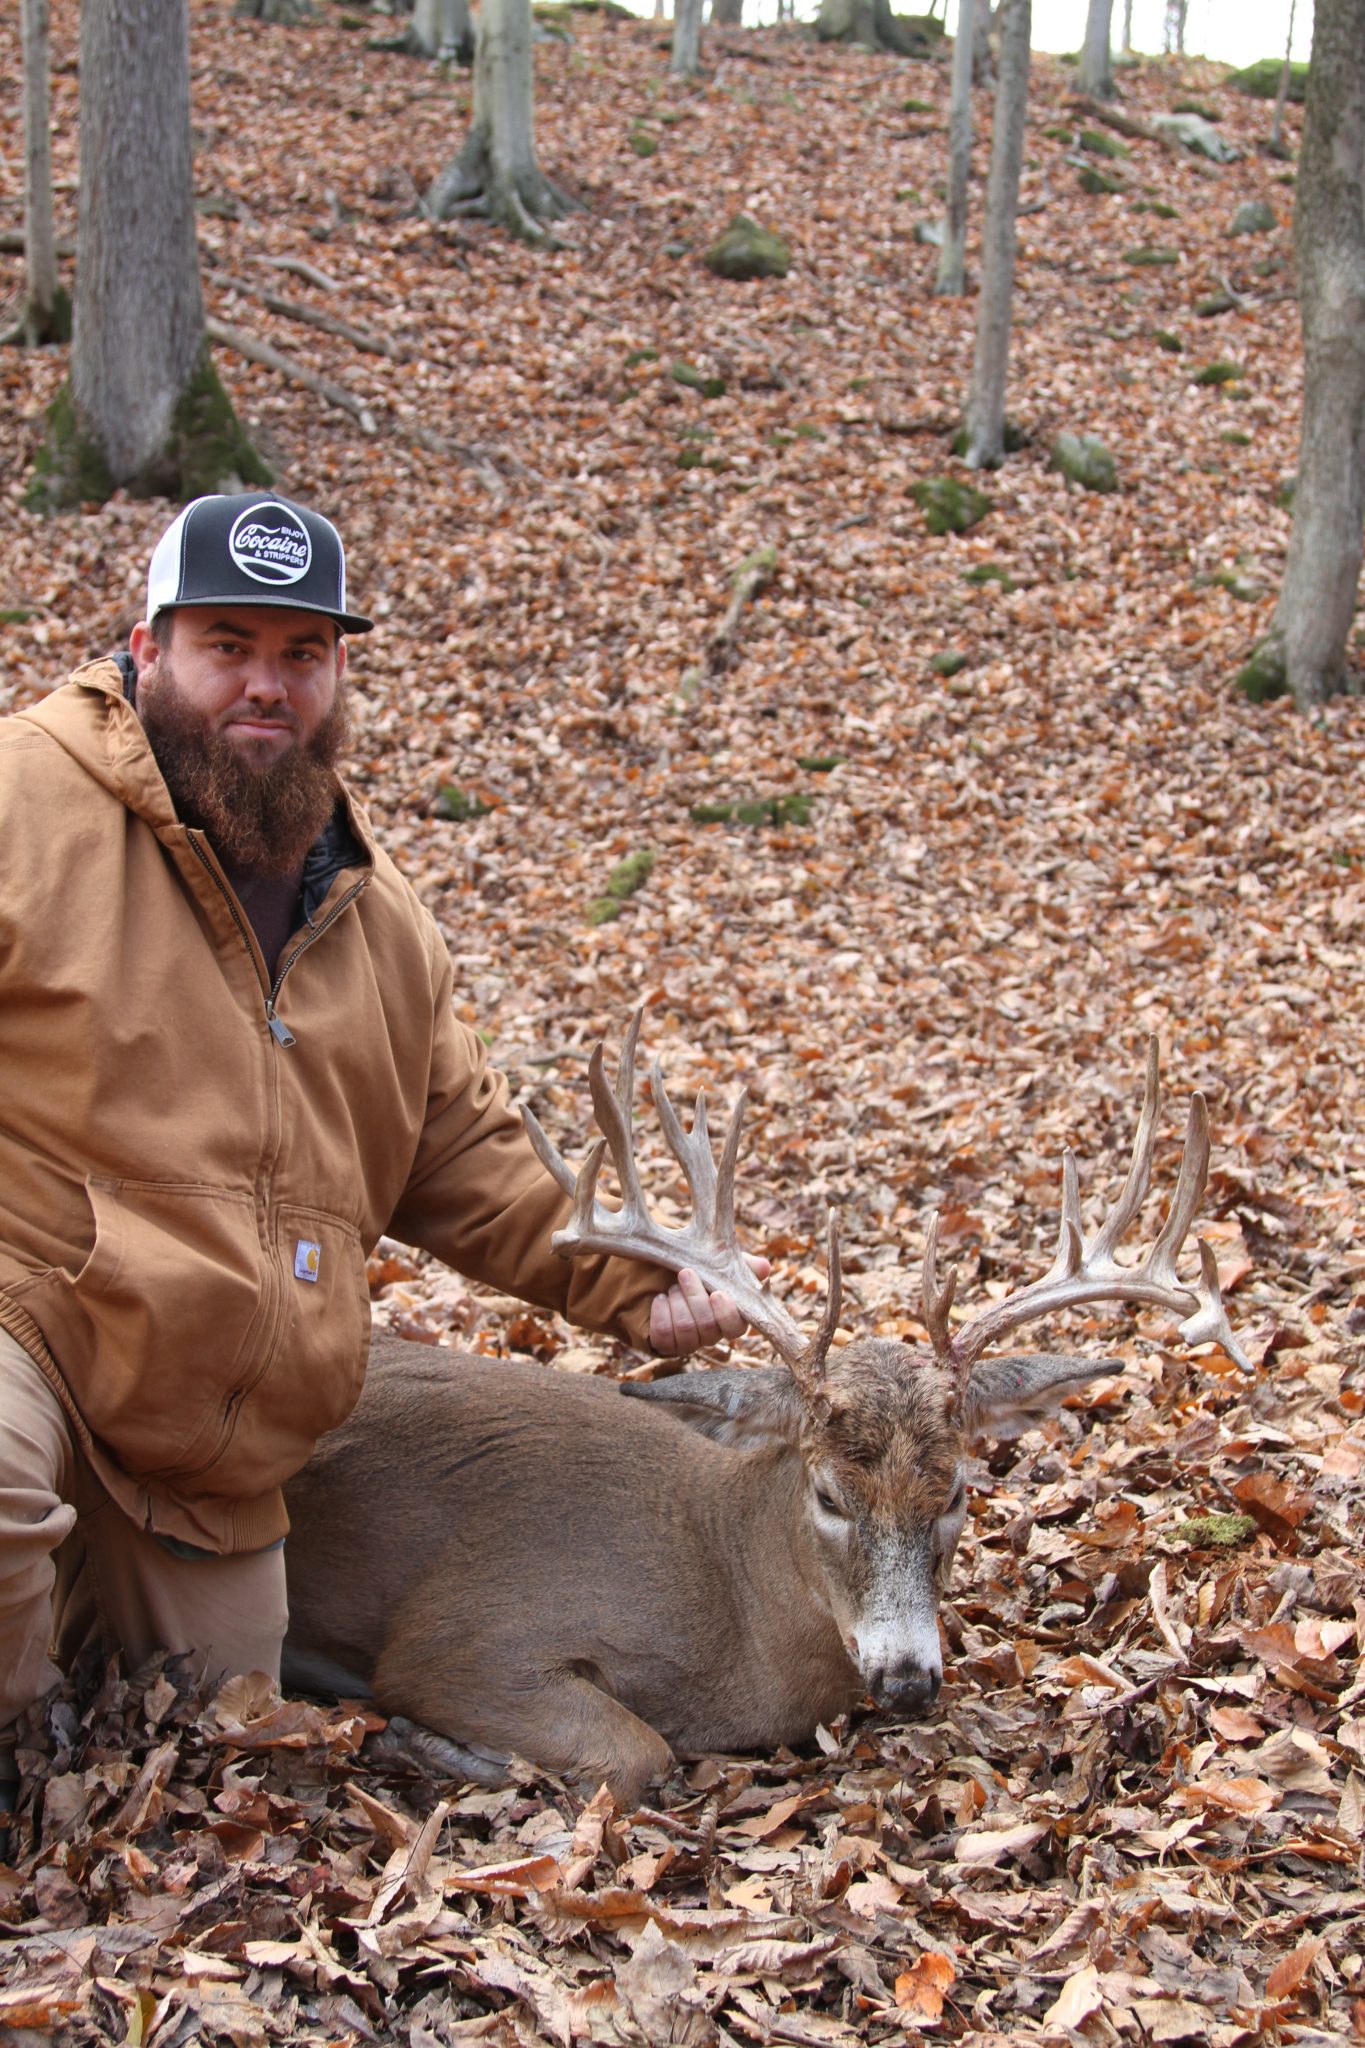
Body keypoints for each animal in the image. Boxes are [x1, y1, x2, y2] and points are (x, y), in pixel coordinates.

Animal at [281, 1017, 1249, 1809]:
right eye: (827, 1495)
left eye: (955, 1495)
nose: (907, 1680)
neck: (726, 1605)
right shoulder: (465, 1635)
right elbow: (636, 1752)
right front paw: (415, 1744)